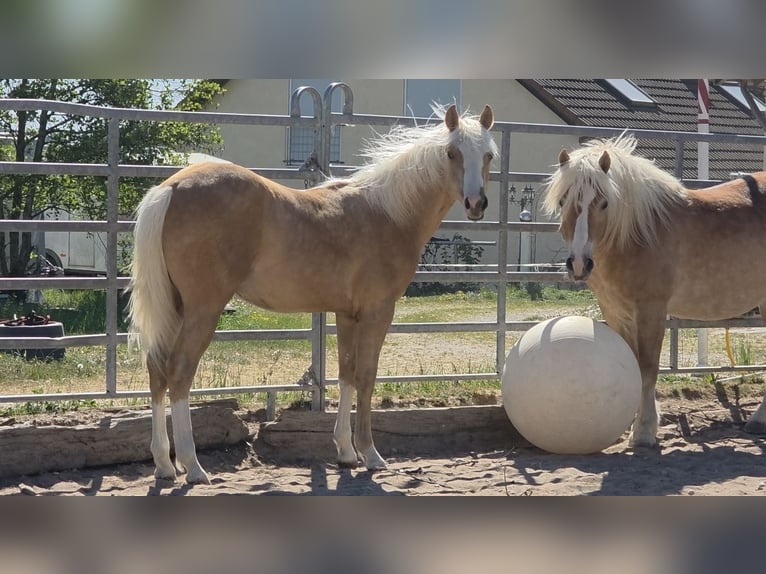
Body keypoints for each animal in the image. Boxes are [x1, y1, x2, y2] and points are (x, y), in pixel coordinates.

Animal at [128, 104, 497, 483]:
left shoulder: (347, 314)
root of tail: (171, 187)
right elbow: (366, 377)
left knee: (156, 370)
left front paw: (346, 452)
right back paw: (193, 466)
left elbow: (346, 373)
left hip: (176, 307)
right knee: (179, 372)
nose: (476, 203)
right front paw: (370, 454)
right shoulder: (378, 311)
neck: (387, 213)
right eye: (451, 153)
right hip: (204, 309)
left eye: (488, 155)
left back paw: (164, 465)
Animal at [543, 133, 766, 449]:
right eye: (563, 201)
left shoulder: (651, 309)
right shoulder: (616, 312)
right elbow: (633, 365)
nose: (578, 264)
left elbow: (647, 367)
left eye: (604, 203)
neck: (637, 235)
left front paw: (645, 431)